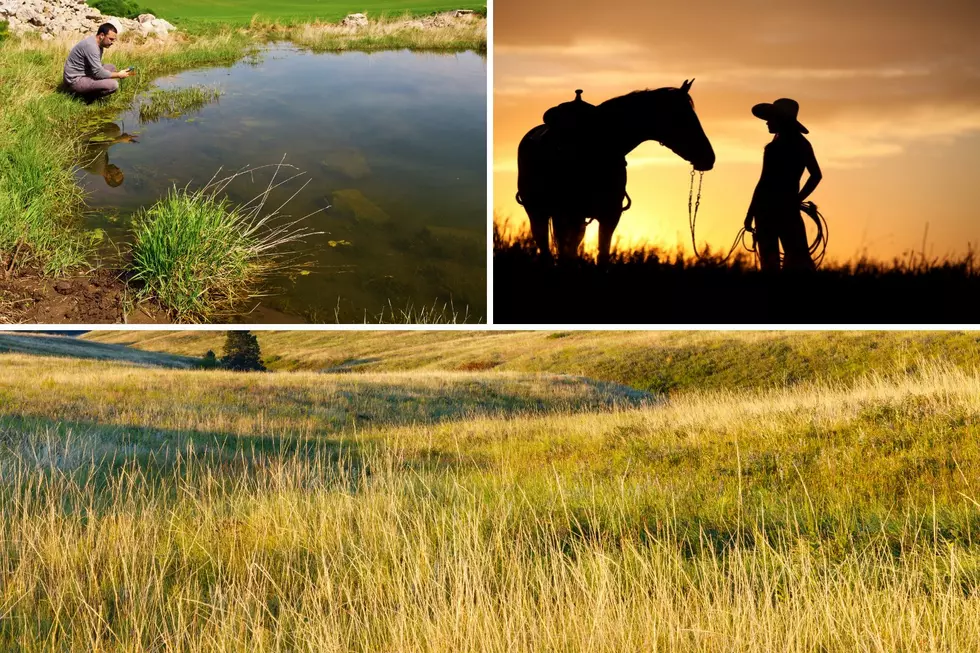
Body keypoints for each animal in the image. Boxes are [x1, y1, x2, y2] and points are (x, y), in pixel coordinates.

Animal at [516, 80, 716, 264]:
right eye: (681, 118)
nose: (709, 157)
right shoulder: (564, 213)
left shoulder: (609, 216)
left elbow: (602, 256)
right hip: (539, 213)